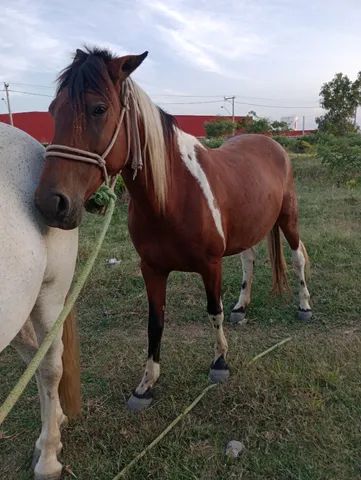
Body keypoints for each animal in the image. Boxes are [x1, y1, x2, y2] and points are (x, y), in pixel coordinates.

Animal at [35, 47, 312, 410]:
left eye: (99, 108)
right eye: (53, 109)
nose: (50, 203)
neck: (173, 197)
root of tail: (273, 144)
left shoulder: (211, 265)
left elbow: (213, 311)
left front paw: (220, 362)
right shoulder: (152, 269)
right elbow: (155, 323)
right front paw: (146, 384)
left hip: (288, 218)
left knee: (298, 257)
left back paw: (304, 305)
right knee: (249, 260)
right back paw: (242, 306)